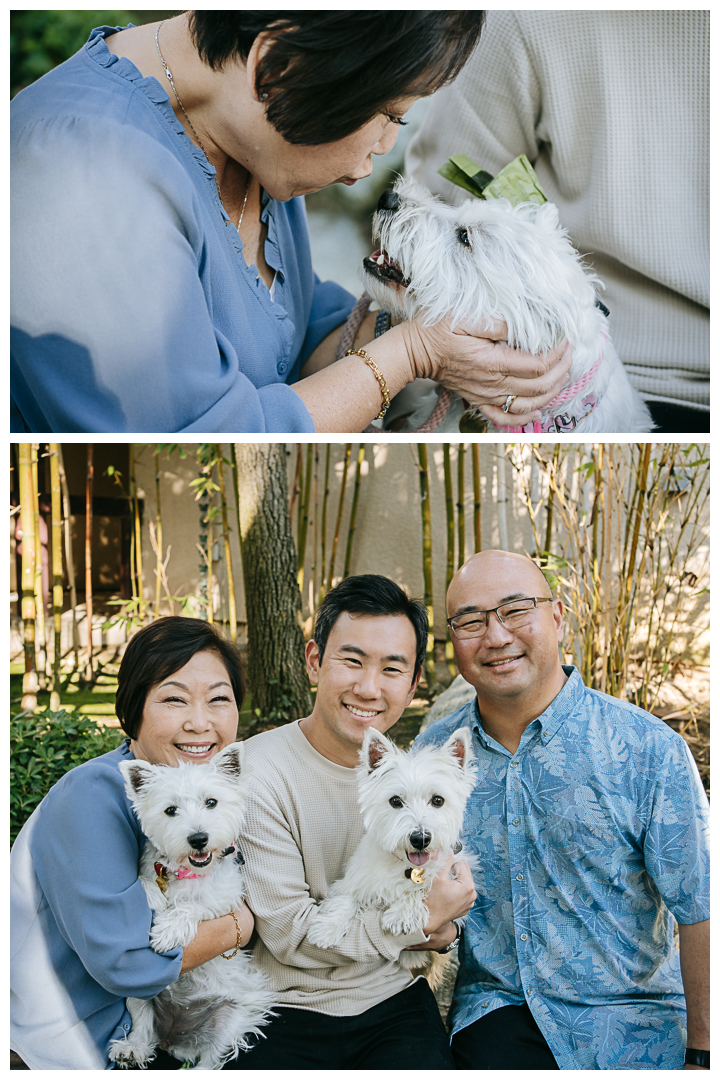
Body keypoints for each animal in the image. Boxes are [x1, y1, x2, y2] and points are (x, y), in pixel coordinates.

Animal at [106, 743, 273, 1071]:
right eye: (171, 810)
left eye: (212, 802)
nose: (198, 838)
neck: (188, 872)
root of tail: (175, 1038)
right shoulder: (151, 870)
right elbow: (145, 882)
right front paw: (154, 898)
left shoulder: (227, 899)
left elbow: (197, 905)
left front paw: (168, 930)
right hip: (140, 996)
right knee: (142, 1027)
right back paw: (132, 1050)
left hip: (229, 1017)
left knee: (210, 1060)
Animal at [306, 725, 474, 989]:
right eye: (395, 801)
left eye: (438, 800)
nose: (420, 839)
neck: (405, 865)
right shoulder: (354, 882)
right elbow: (346, 899)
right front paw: (327, 928)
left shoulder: (452, 869)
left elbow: (423, 885)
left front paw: (403, 913)